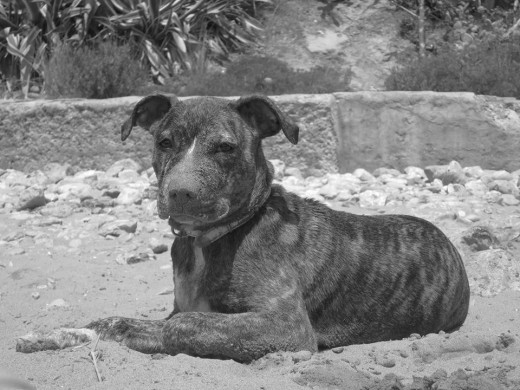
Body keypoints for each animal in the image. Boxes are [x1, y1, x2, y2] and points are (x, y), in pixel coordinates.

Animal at [83, 94, 470, 362]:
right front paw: (100, 329)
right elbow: (142, 322)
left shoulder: (286, 326)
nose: (180, 193)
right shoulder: (180, 306)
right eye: (164, 143)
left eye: (225, 147)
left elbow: (187, 325)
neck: (214, 239)